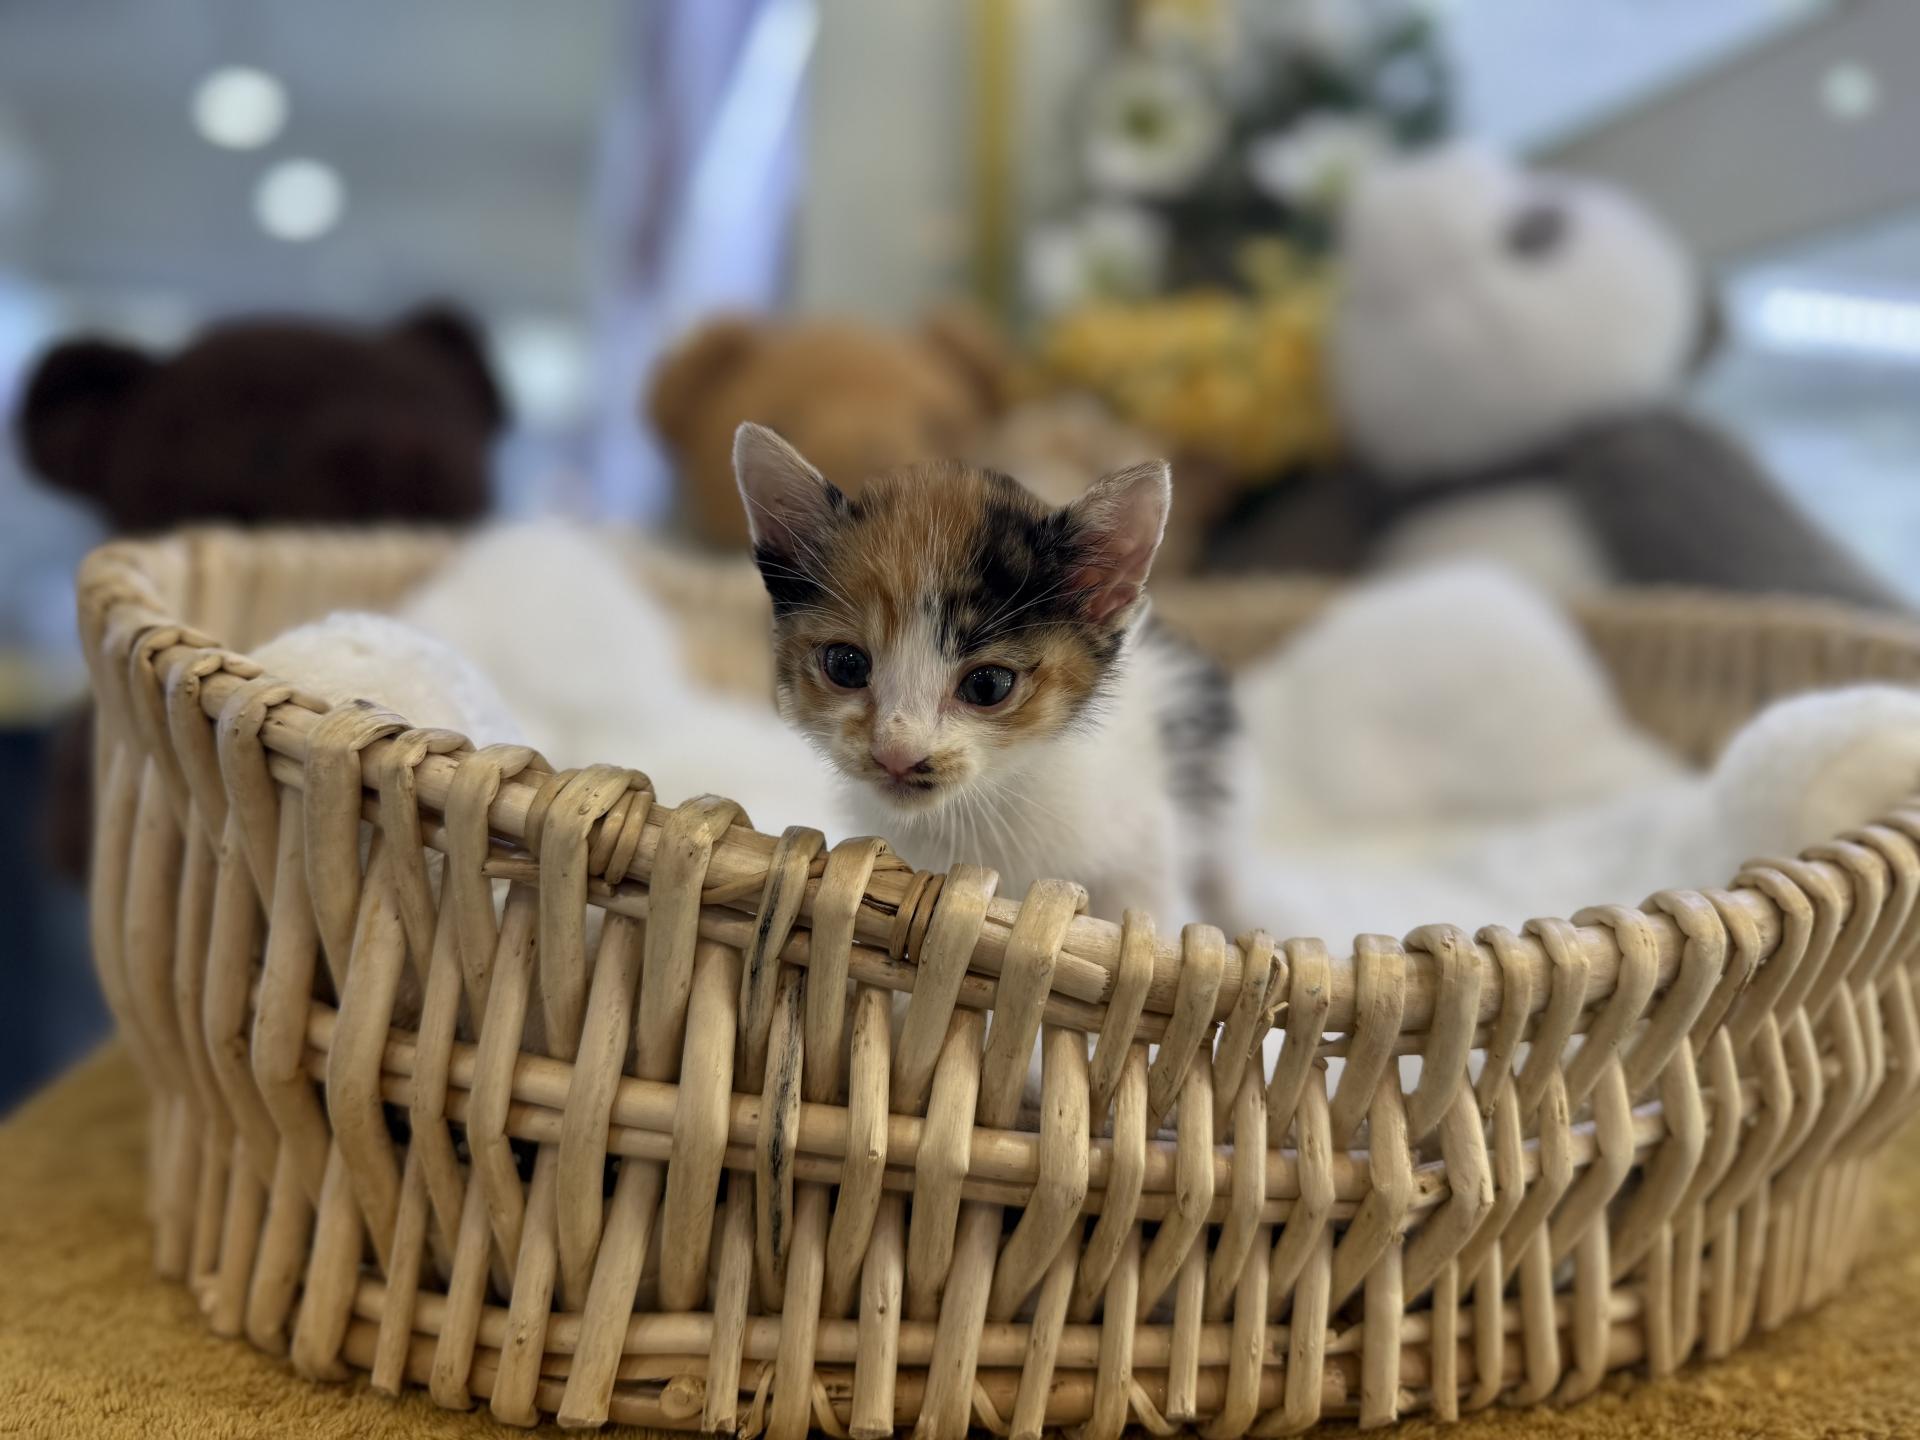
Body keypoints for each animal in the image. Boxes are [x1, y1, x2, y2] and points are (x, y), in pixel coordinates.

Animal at [731, 421, 1245, 933]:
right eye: (846, 665)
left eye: (987, 686)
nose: (897, 754)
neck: (983, 806)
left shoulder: (1145, 847)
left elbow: (1136, 916)